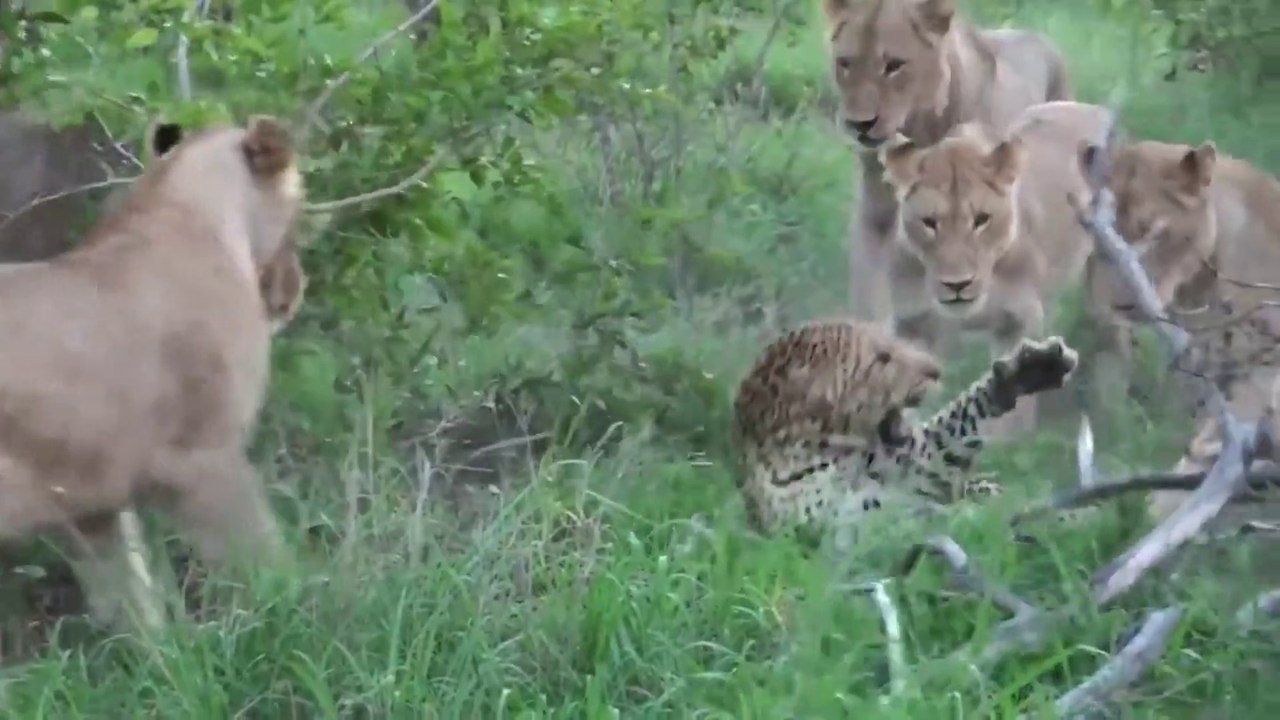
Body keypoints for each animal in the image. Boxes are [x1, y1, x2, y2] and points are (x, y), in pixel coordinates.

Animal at [0, 114, 305, 633]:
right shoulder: (204, 456)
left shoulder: (92, 500)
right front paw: (303, 614)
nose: (295, 286)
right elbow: (262, 556)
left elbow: (125, 594)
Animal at [733, 317, 1078, 548]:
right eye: (882, 358)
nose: (937, 370)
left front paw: (1032, 367)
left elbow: (953, 428)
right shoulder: (843, 528)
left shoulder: (919, 466)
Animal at [819, 0, 1074, 324]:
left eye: (894, 65)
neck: (919, 131)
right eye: (845, 63)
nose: (859, 124)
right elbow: (870, 288)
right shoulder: (875, 214)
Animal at [875, 101, 1111, 435]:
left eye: (981, 220)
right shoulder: (911, 325)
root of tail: (1089, 107)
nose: (957, 285)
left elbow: (1014, 415)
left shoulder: (1017, 323)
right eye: (929, 223)